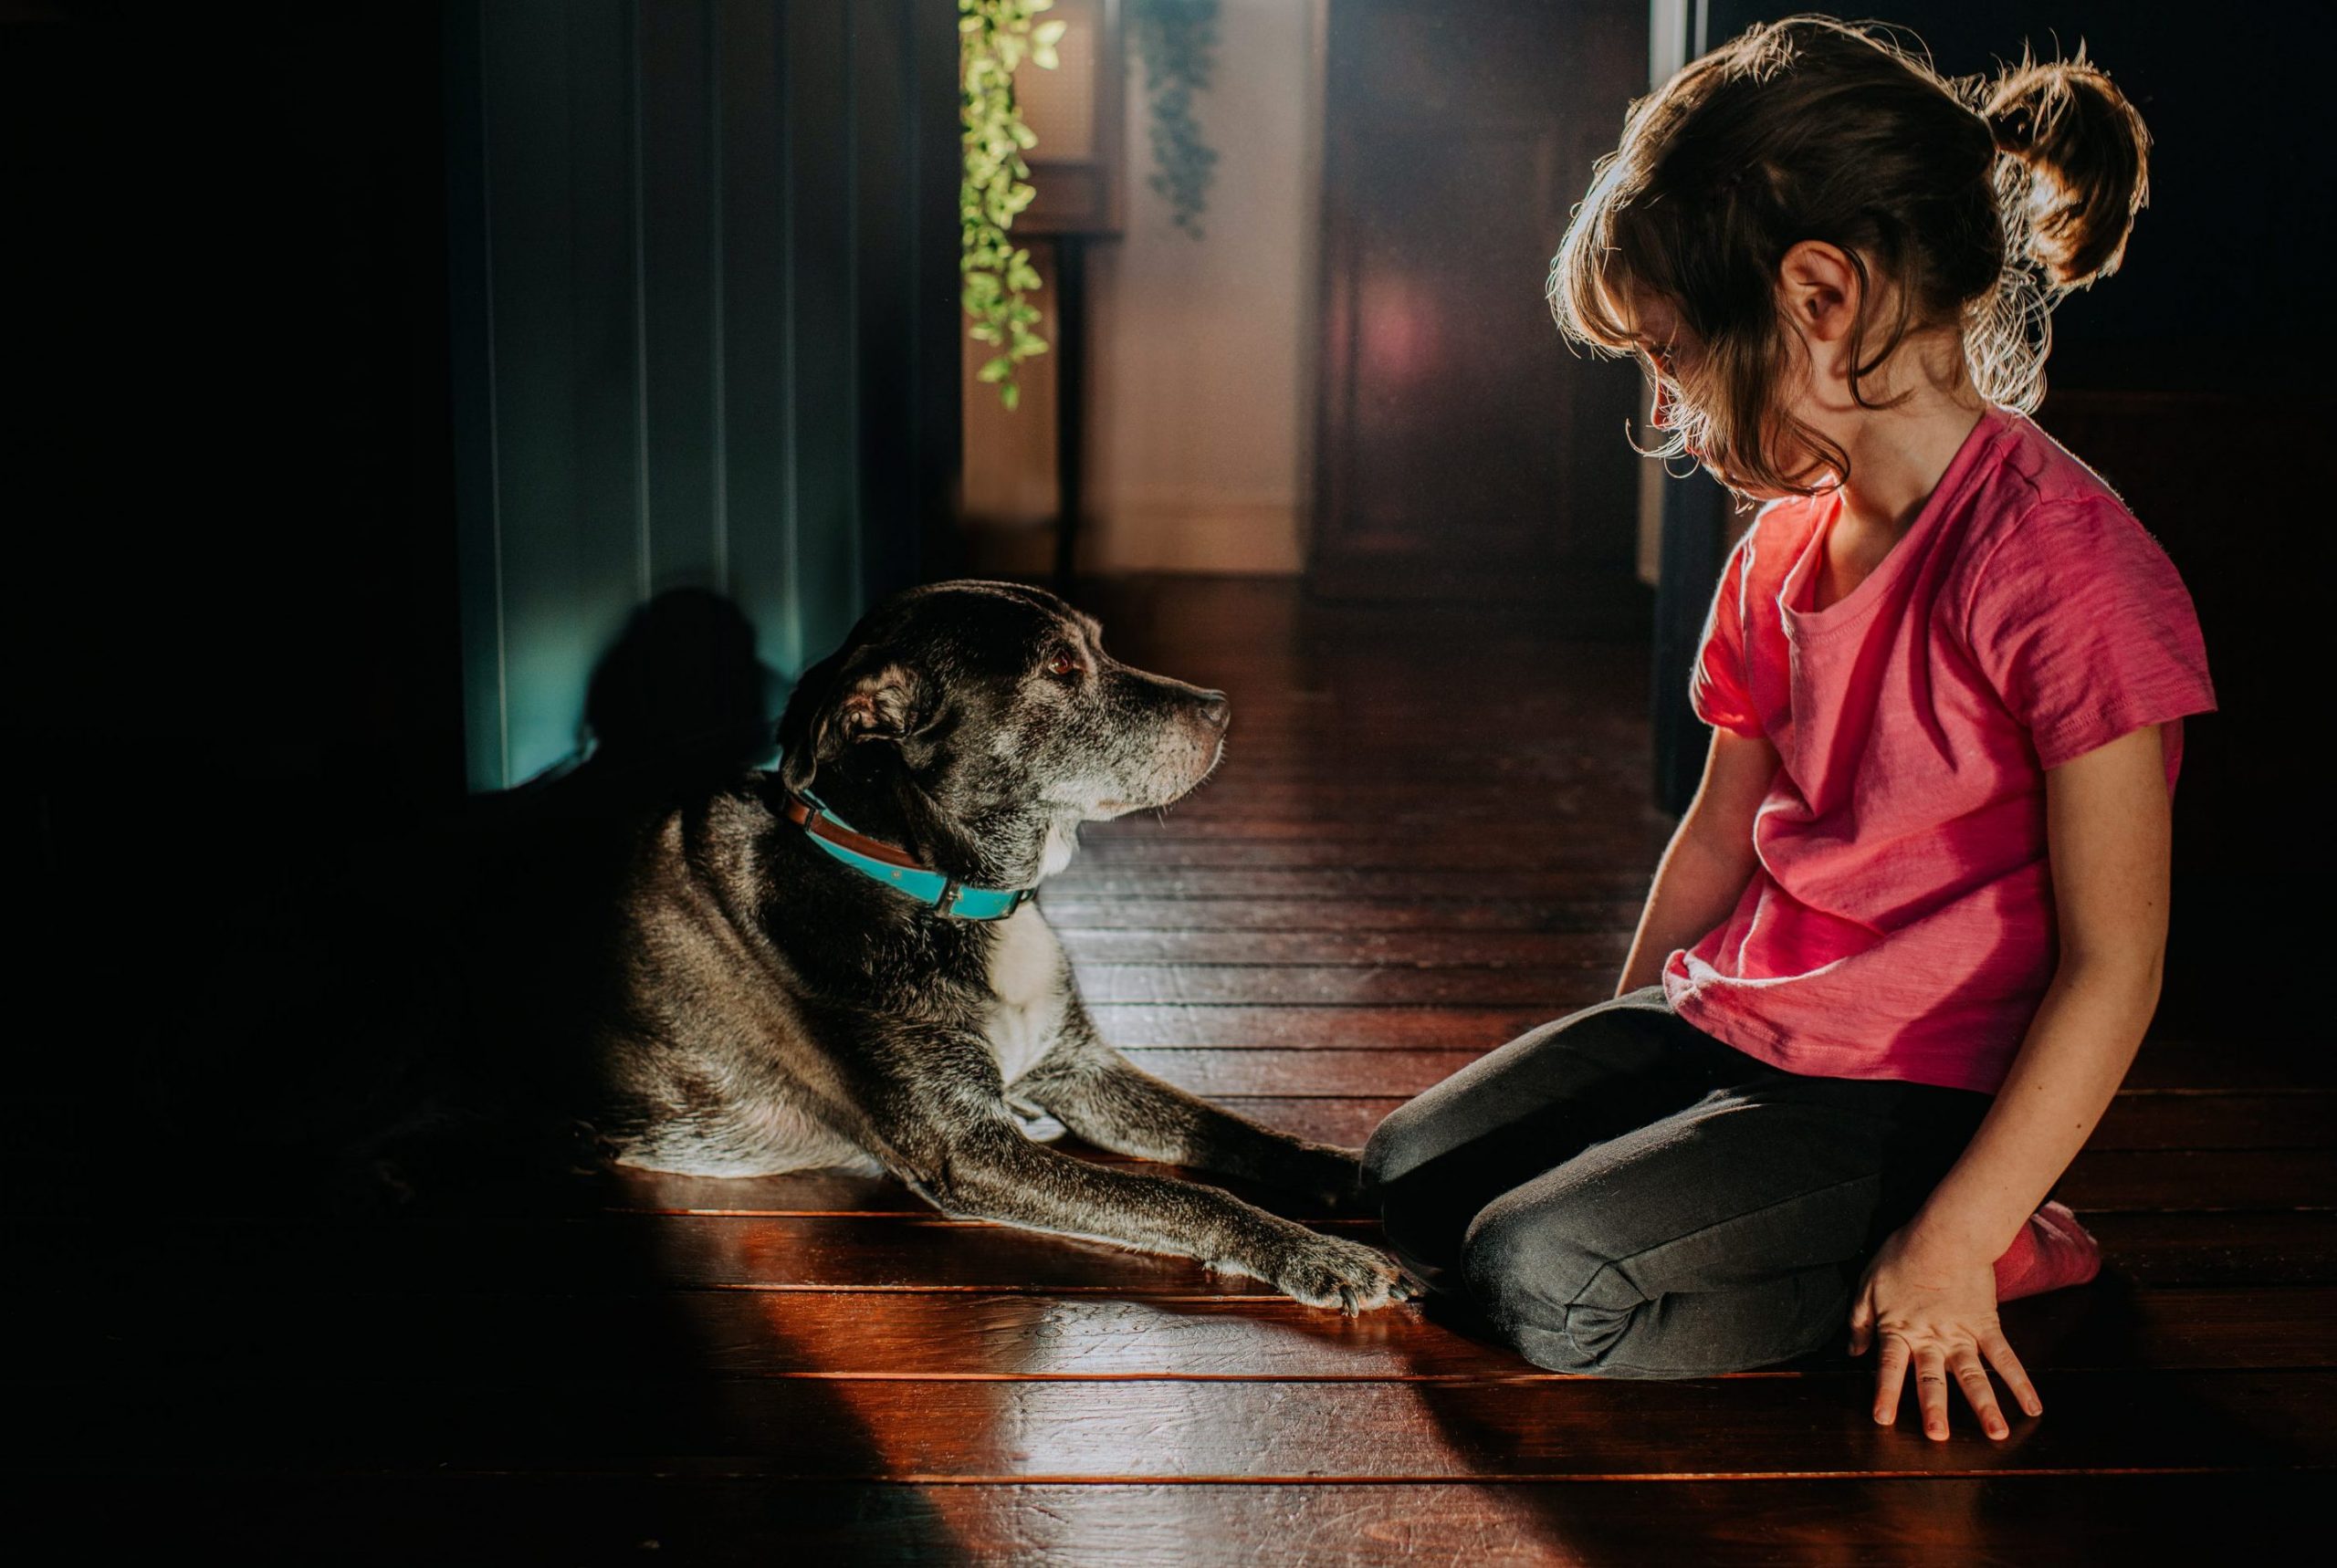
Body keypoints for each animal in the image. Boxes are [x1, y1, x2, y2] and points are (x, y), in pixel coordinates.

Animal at [584, 581, 1411, 1318]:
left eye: (1097, 646)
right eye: (1061, 668)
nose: (1221, 707)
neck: (936, 887)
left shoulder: (1080, 1068)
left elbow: (1238, 1133)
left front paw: (1361, 1172)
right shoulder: (970, 1148)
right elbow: (1181, 1194)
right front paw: (1320, 1254)